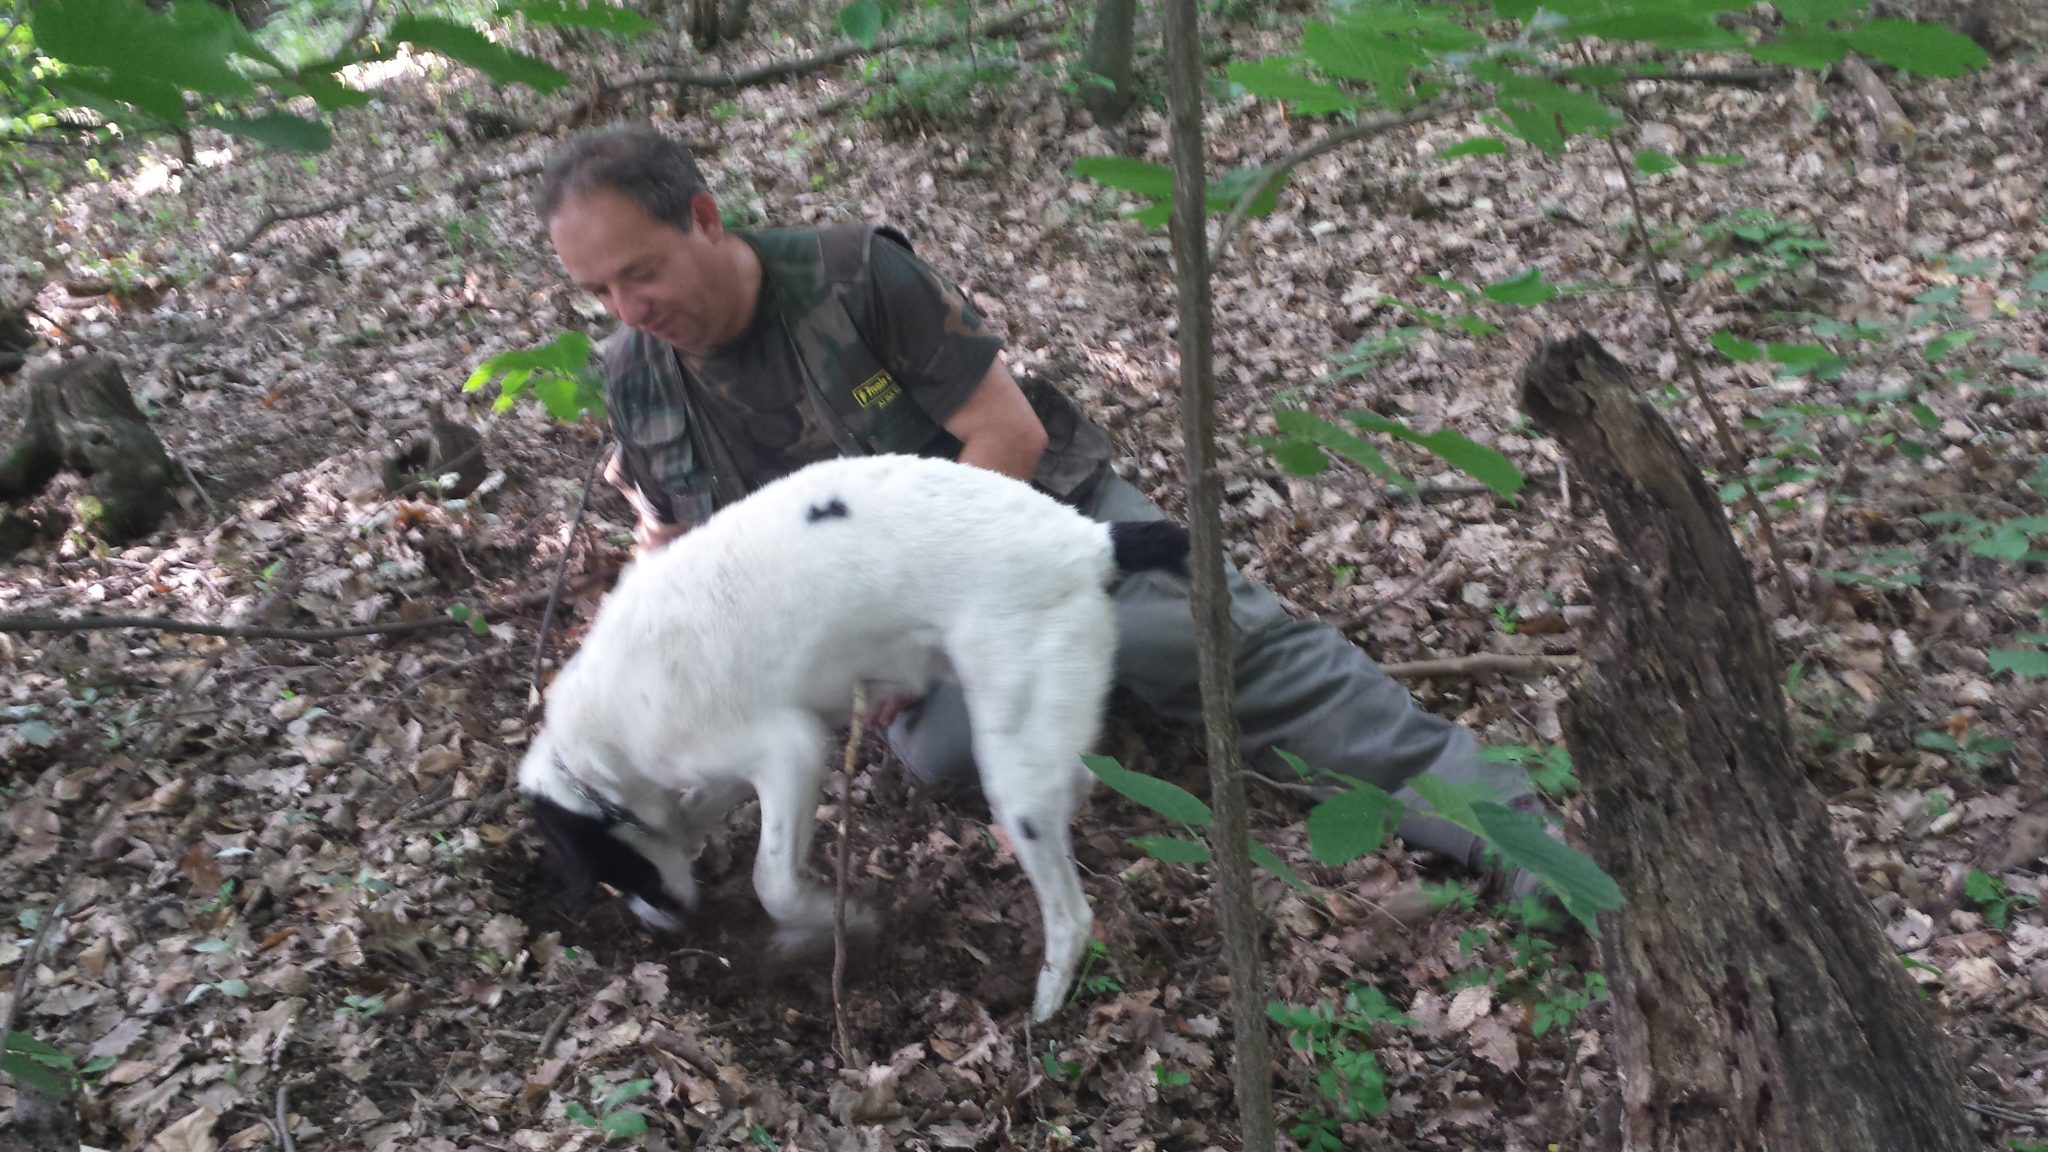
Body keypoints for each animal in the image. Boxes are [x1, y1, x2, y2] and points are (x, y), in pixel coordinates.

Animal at [516, 453, 1187, 1016]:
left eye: (619, 871)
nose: (667, 924)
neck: (598, 745)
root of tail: (1088, 540)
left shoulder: (790, 751)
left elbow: (773, 881)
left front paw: (837, 922)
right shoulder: (733, 767)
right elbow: (693, 817)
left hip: (1014, 775)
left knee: (1072, 915)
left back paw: (1045, 1006)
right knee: (1074, 783)